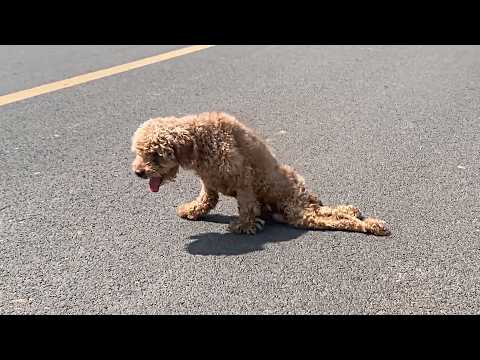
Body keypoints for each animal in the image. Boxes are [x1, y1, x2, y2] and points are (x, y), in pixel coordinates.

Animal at [130, 112, 390, 236]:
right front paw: (192, 210)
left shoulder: (242, 177)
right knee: (330, 211)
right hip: (295, 210)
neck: (199, 140)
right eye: (139, 153)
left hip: (297, 211)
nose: (138, 172)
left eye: (155, 154)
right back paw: (354, 211)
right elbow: (206, 200)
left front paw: (244, 226)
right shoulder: (209, 183)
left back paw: (372, 225)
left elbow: (246, 205)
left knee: (335, 220)